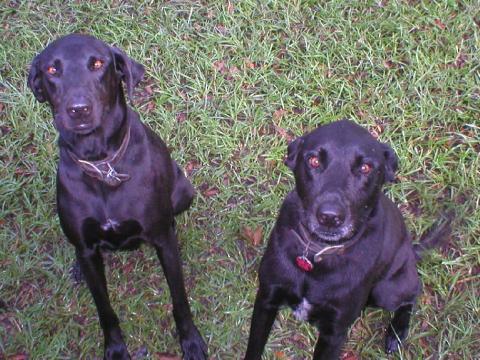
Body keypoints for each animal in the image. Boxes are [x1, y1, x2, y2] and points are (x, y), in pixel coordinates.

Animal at [28, 34, 207, 360]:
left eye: (98, 64)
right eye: (52, 70)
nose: (79, 109)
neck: (102, 164)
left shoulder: (163, 241)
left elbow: (180, 299)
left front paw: (190, 340)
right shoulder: (87, 248)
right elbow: (105, 310)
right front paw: (114, 347)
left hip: (184, 192)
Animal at [246, 119, 452, 358]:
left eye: (365, 168)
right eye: (314, 161)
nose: (329, 217)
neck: (317, 255)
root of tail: (411, 250)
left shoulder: (335, 332)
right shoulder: (266, 300)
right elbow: (254, 348)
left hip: (387, 291)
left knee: (412, 295)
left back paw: (396, 332)